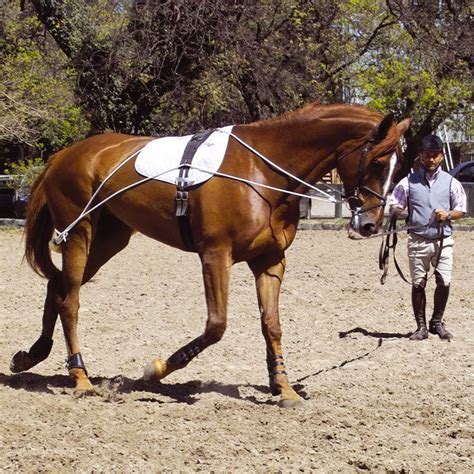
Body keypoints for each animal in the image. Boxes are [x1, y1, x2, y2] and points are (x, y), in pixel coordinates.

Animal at [9, 102, 410, 406]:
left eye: (398, 168)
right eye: (377, 163)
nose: (370, 225)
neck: (263, 172)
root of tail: (65, 154)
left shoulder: (269, 262)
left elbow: (272, 325)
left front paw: (283, 388)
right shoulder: (216, 256)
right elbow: (217, 325)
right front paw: (156, 370)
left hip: (111, 238)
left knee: (59, 287)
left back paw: (30, 356)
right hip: (79, 233)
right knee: (70, 300)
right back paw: (80, 378)